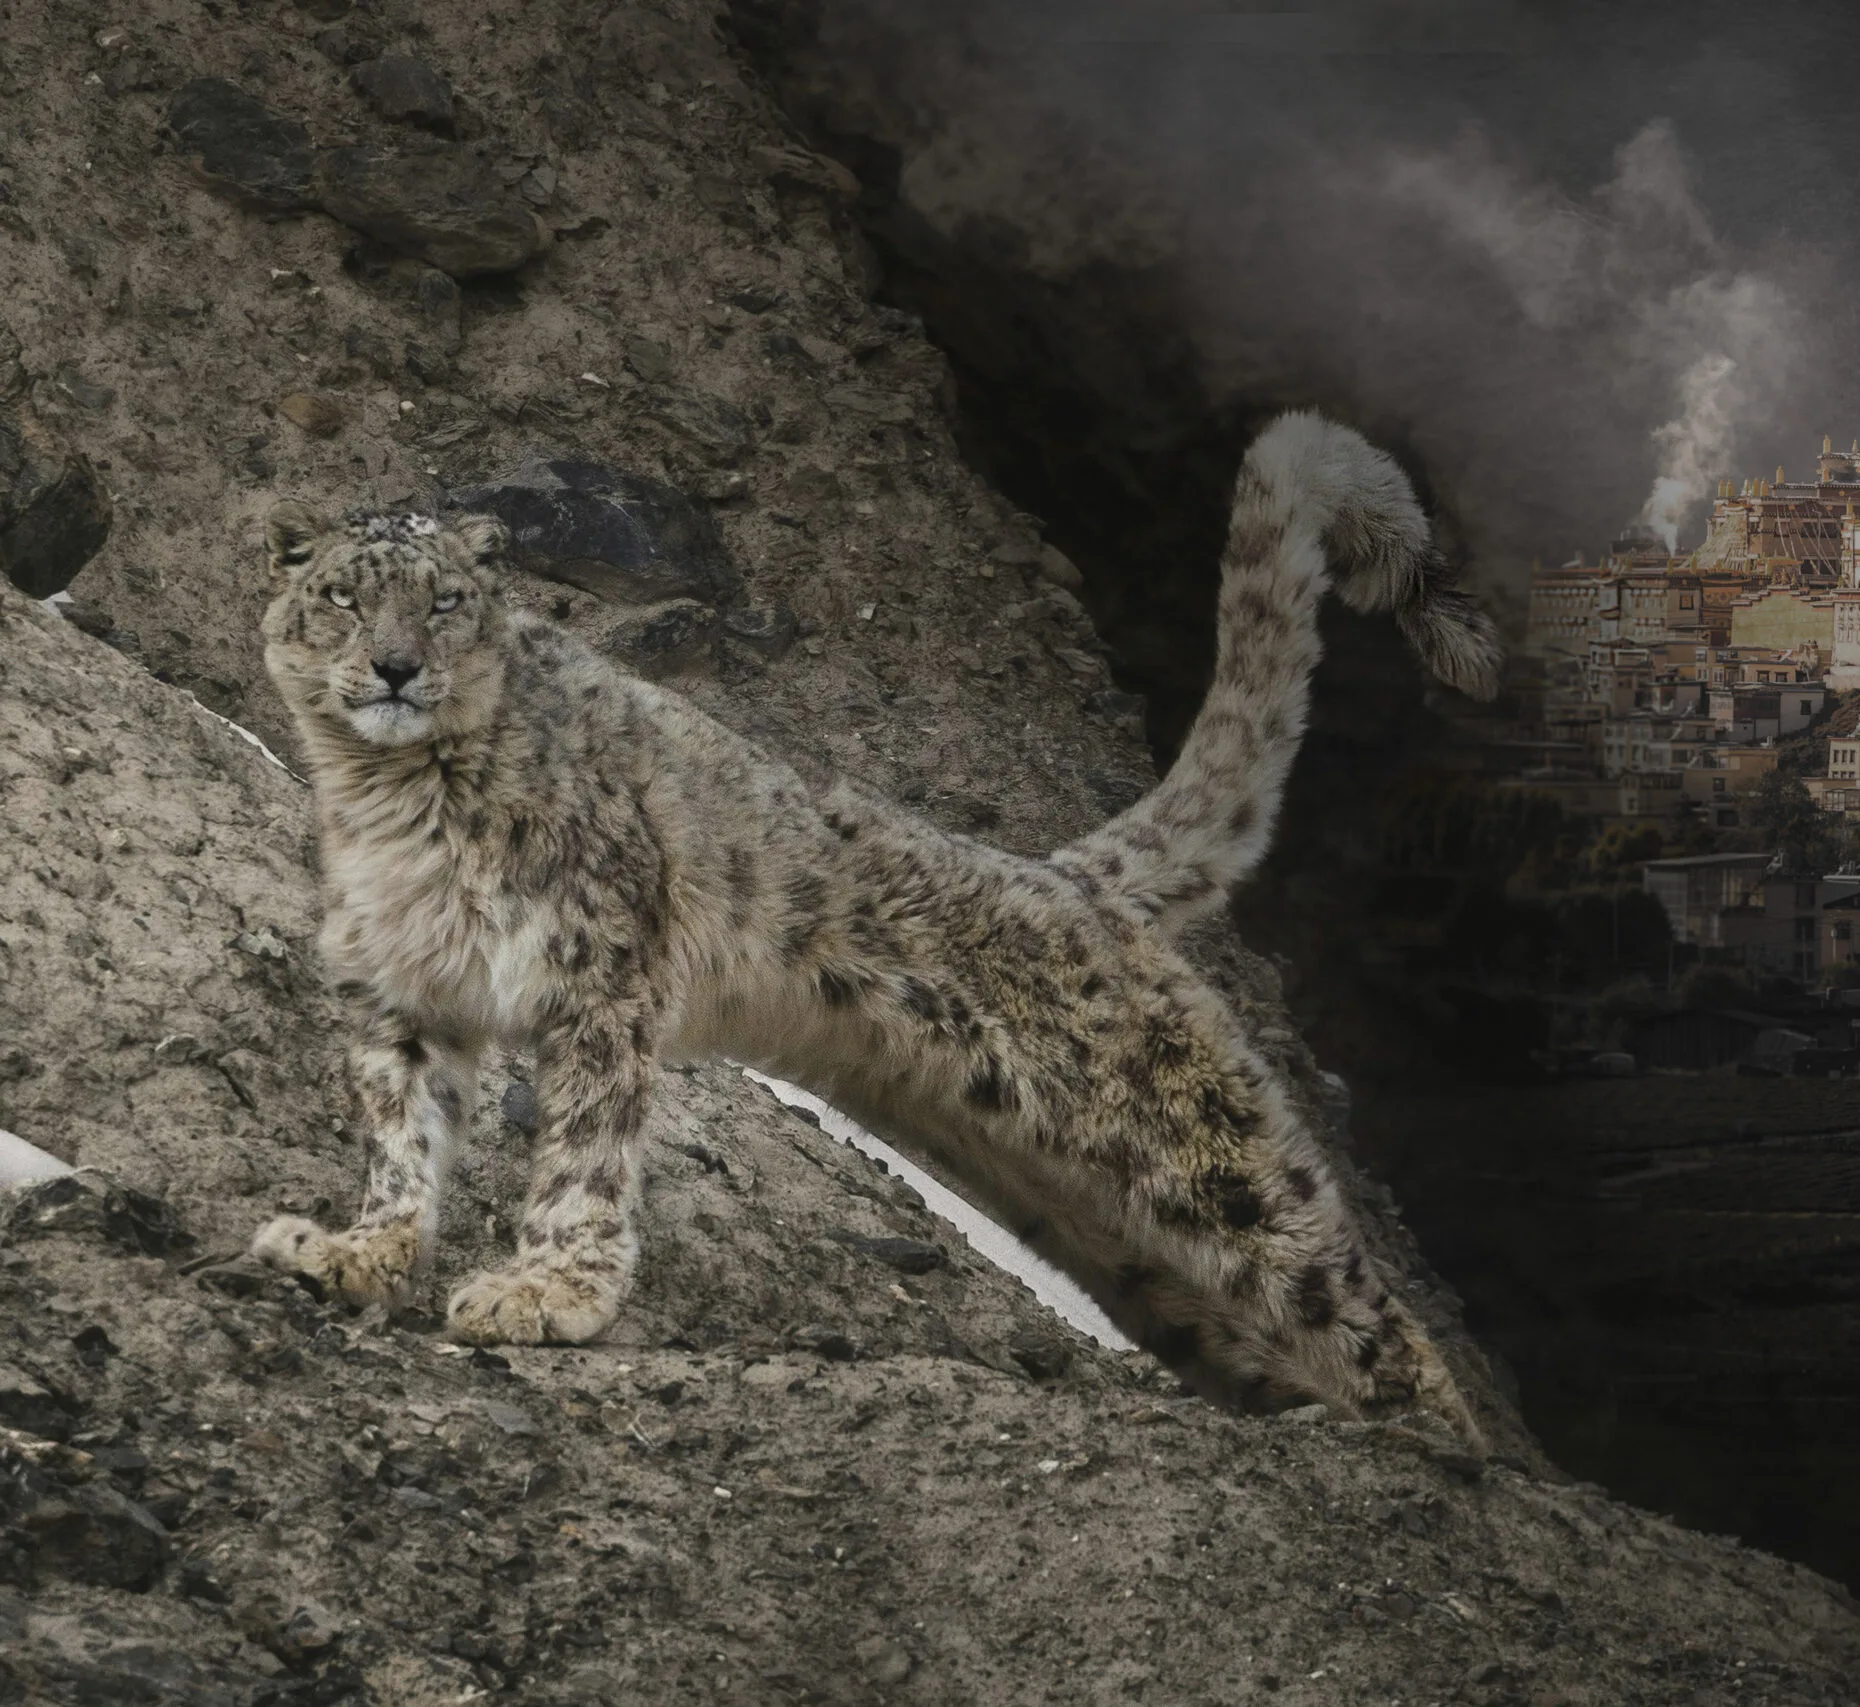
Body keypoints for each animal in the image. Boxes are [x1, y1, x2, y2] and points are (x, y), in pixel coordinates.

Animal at [249, 412, 1502, 1444]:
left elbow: (585, 1153)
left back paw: (1447, 1455)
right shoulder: (402, 996)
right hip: (1086, 1213)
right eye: (345, 596)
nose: (396, 665)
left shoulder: (601, 977)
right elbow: (403, 1138)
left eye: (443, 600)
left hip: (1197, 1152)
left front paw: (545, 1293)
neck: (390, 801)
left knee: (1342, 1286)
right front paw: (357, 1252)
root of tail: (1067, 876)